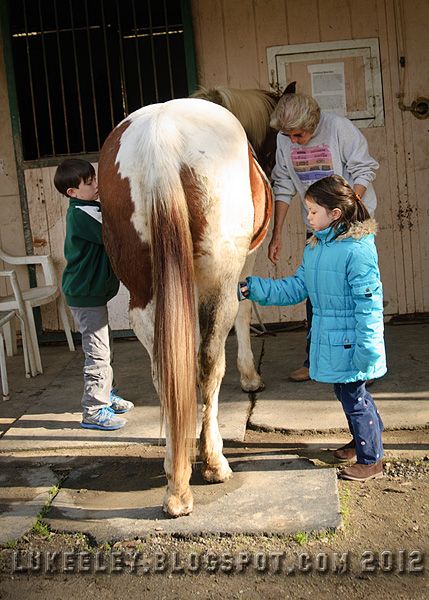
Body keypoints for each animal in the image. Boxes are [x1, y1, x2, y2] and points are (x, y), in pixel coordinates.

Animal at [97, 94, 270, 516]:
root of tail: (159, 135)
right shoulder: (242, 268)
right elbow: (243, 314)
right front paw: (250, 376)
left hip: (145, 299)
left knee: (166, 373)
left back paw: (174, 471)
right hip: (217, 286)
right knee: (207, 366)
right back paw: (210, 464)